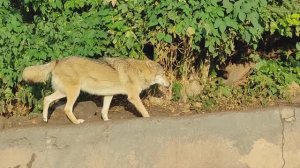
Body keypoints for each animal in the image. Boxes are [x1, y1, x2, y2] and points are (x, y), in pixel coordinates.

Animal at [23, 55, 169, 124]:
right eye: (163, 74)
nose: (169, 84)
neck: (139, 71)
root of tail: (57, 61)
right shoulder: (133, 97)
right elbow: (145, 111)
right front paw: (149, 119)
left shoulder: (109, 95)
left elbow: (104, 111)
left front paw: (106, 121)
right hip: (74, 93)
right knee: (67, 109)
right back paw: (76, 122)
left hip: (63, 93)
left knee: (46, 99)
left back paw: (45, 119)